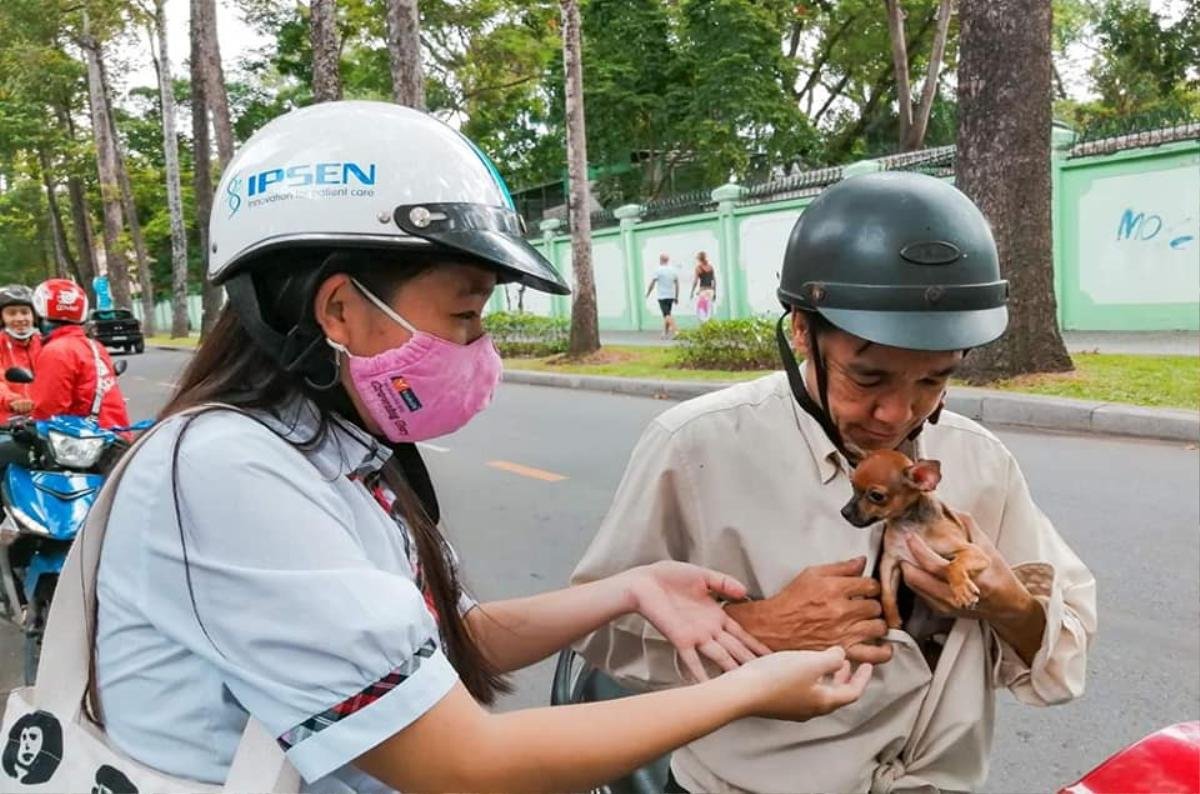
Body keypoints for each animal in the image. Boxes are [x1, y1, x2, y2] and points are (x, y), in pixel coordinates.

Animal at [840, 450, 988, 633]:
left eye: (876, 496)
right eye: (852, 486)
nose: (844, 512)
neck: (909, 524)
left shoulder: (974, 552)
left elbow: (952, 565)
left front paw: (962, 589)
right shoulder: (890, 561)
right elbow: (886, 593)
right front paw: (892, 620)